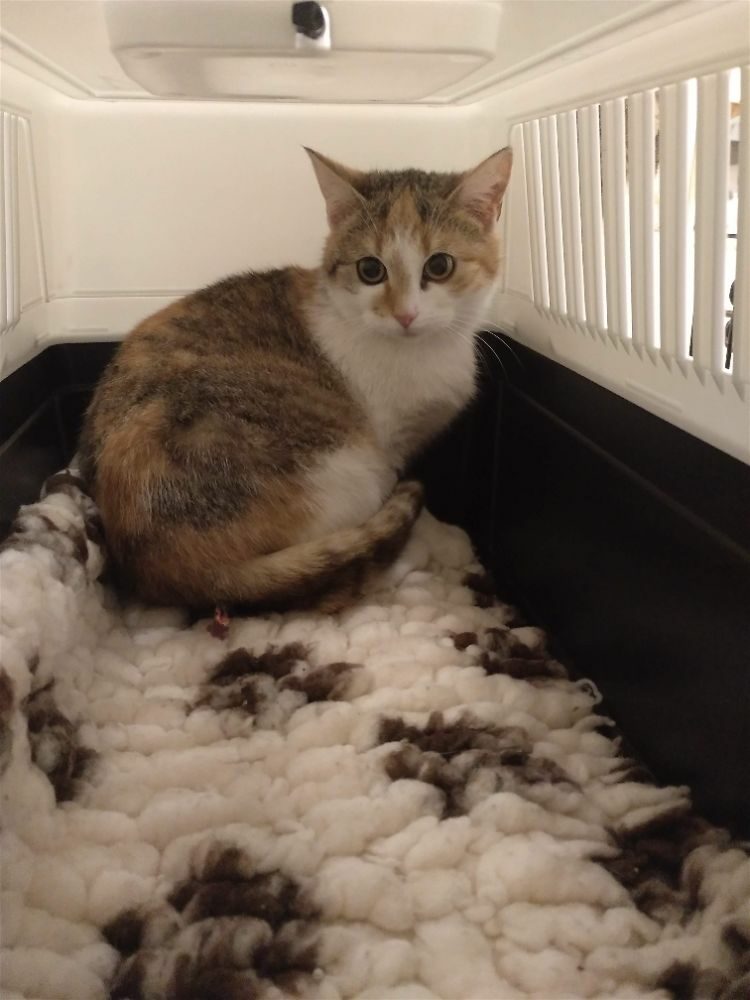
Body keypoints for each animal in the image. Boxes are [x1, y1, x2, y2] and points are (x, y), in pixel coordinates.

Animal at [78, 146, 513, 612]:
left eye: (440, 265)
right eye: (370, 270)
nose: (405, 314)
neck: (421, 352)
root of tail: (161, 571)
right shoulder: (388, 446)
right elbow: (403, 486)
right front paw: (443, 536)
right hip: (351, 467)